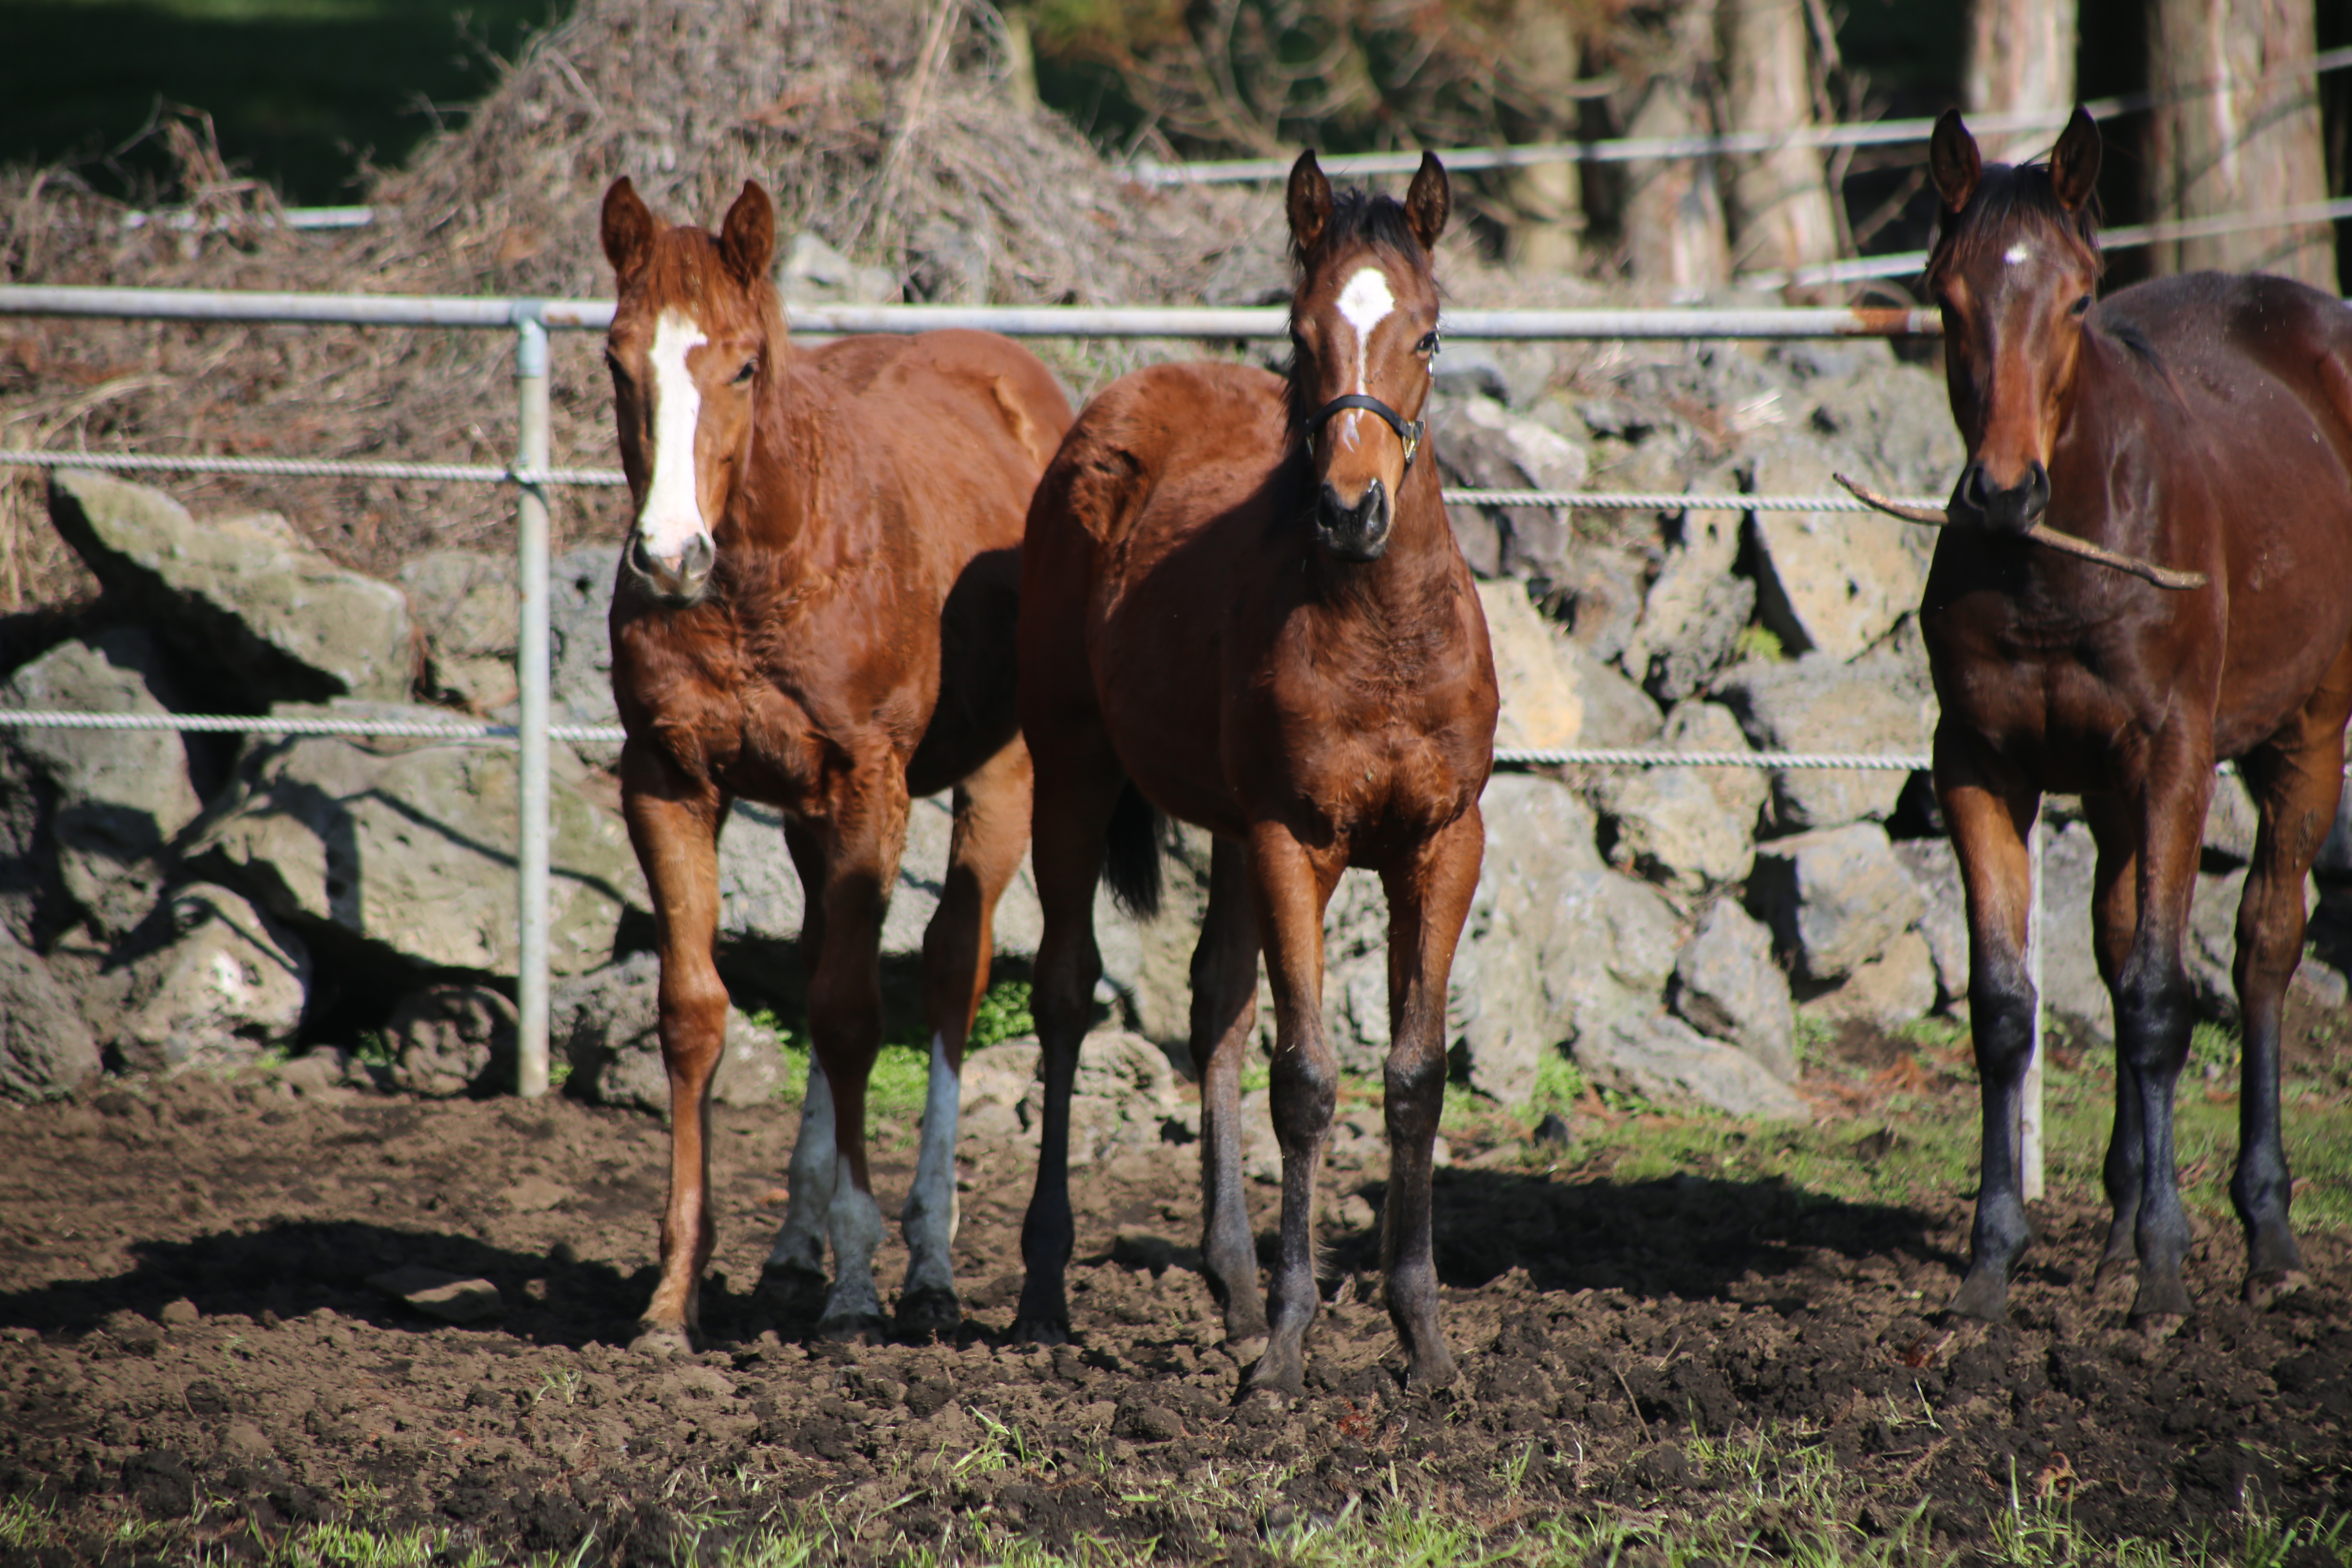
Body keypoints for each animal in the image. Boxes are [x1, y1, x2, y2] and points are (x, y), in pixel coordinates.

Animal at [597, 175, 1077, 1354]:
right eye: (619, 360)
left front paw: (860, 1290)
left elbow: (857, 1016)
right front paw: (673, 1297)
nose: (666, 559)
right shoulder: (669, 782)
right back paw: (789, 1256)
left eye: (742, 366)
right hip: (808, 819)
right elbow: (696, 1013)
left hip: (1002, 778)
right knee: (824, 963)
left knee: (950, 969)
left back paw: (929, 1267)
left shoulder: (870, 784)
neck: (767, 562)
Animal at [1007, 150, 1486, 1401]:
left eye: (1427, 334)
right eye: (1302, 334)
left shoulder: (1443, 843)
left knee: (1212, 1004)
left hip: (1223, 822)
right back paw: (1042, 1294)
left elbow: (1414, 1076)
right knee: (1066, 995)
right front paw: (1284, 1348)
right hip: (1072, 768)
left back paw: (1226, 1284)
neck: (1382, 632)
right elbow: (1307, 1079)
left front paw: (1423, 1338)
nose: (1351, 511)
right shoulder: (1293, 837)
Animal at [1900, 104, 2352, 1316]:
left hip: (2305, 737)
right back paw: (2109, 1228)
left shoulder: (2174, 762)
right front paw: (1991, 1261)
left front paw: (2162, 1267)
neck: (2059, 560)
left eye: (2073, 299)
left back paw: (2265, 1238)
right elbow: (2005, 1007)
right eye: (1945, 297)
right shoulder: (1981, 767)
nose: (2002, 491)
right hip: (2104, 788)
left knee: (2260, 950)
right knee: (2110, 945)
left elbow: (2158, 998)